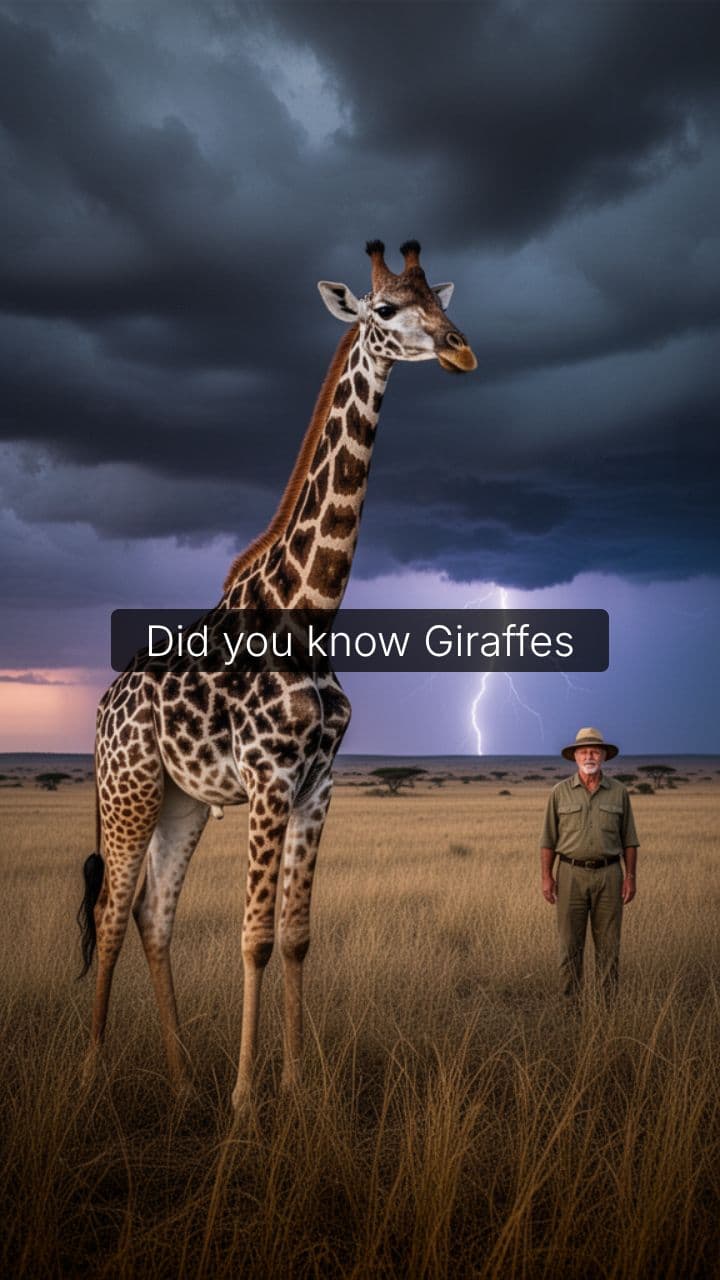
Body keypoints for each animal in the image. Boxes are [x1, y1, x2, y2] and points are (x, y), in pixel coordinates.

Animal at [78, 240, 477, 1110]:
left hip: (183, 802)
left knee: (155, 915)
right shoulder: (268, 778)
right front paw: (246, 1104)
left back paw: (182, 1079)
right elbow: (253, 937)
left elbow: (294, 937)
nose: (461, 350)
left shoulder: (318, 784)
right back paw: (93, 1078)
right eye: (386, 310)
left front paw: (294, 1088)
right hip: (129, 790)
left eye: (442, 300)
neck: (311, 610)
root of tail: (101, 709)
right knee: (112, 914)